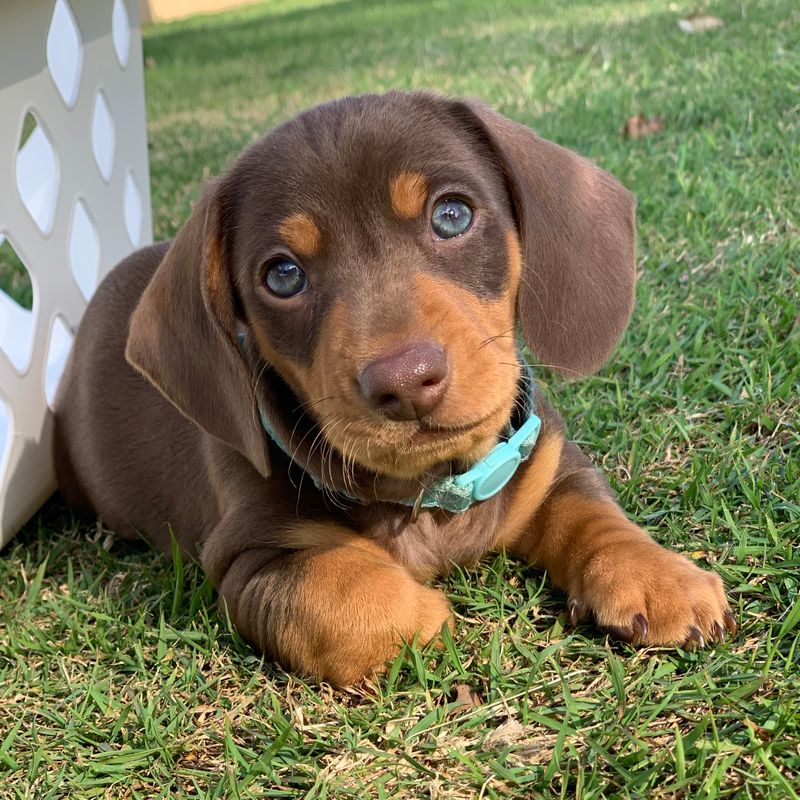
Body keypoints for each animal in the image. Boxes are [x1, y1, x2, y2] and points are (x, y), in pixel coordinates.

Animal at [53, 90, 736, 684]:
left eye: (452, 215)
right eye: (282, 276)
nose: (405, 384)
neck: (433, 491)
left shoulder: (551, 464)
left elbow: (593, 513)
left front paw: (658, 577)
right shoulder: (249, 558)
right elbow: (332, 589)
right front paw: (418, 617)